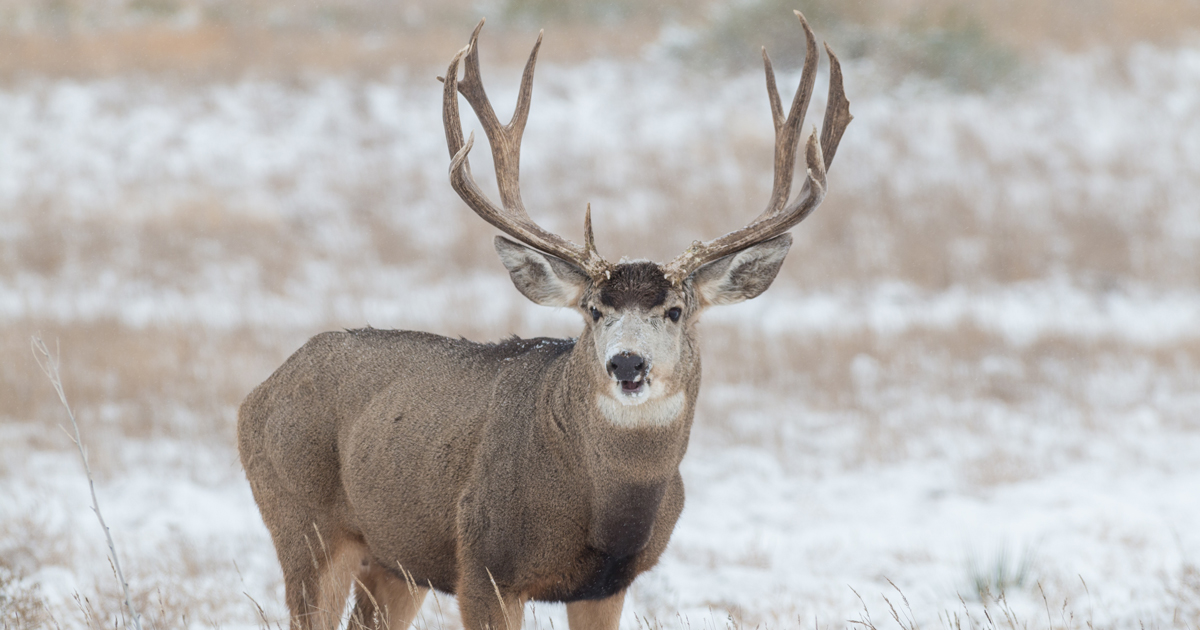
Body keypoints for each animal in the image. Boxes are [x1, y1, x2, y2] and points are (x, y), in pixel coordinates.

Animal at [236, 9, 854, 628]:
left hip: (395, 558)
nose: (627, 364)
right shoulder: (483, 563)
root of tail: (257, 394)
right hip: (305, 524)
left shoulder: (607, 584)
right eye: (593, 310)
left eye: (676, 310)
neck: (605, 508)